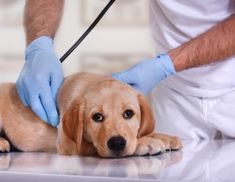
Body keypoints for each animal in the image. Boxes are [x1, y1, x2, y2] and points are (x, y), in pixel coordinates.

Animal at [0, 72, 182, 156]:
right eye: (97, 117)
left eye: (129, 113)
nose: (117, 143)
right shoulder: (69, 145)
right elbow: (94, 144)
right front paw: (145, 142)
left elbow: (145, 132)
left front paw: (165, 137)